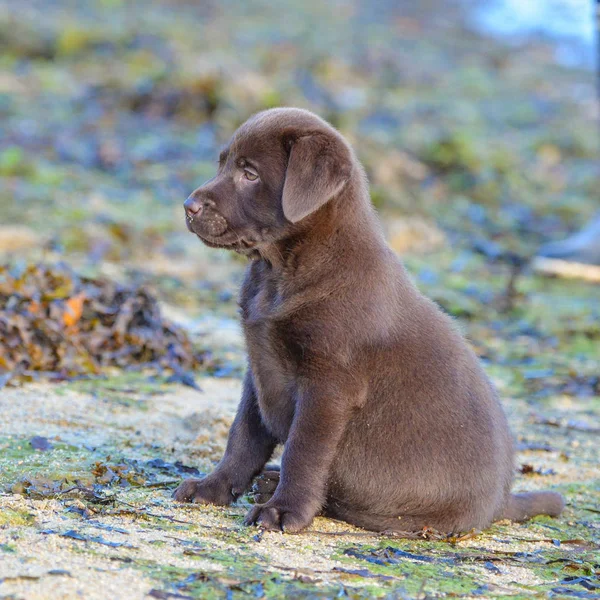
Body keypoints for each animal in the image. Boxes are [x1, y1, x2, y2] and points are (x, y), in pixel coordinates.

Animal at [172, 108, 564, 536]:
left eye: (250, 173)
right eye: (223, 163)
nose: (188, 206)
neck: (281, 272)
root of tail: (499, 505)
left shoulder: (329, 385)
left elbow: (303, 452)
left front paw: (283, 510)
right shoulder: (257, 368)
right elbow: (242, 437)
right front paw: (212, 486)